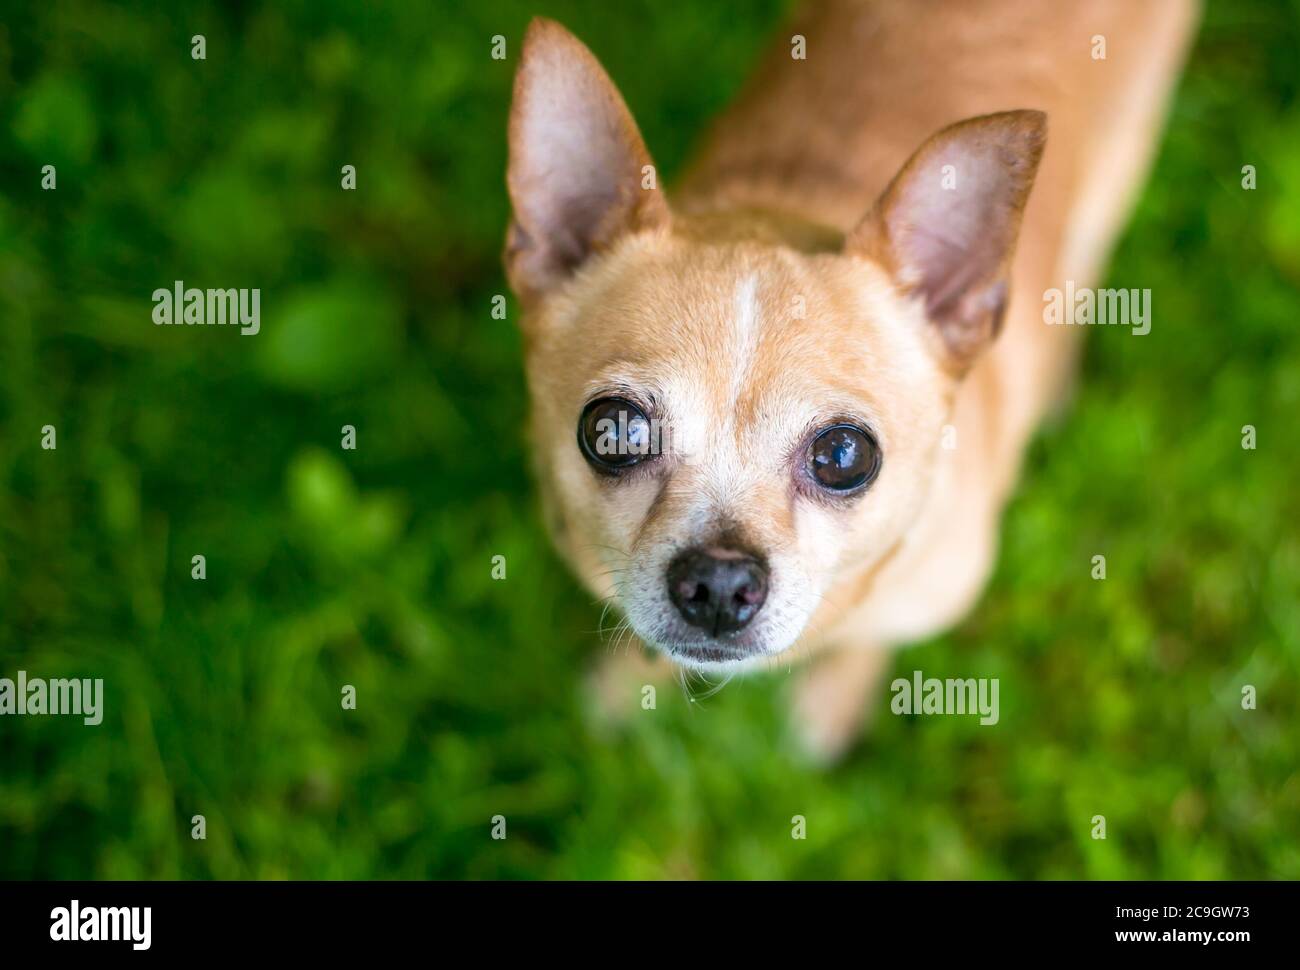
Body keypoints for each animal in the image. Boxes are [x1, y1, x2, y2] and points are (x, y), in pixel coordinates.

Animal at [504, 0, 1196, 754]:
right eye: (614, 433)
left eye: (843, 456)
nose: (718, 580)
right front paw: (627, 690)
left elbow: (871, 640)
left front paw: (832, 701)